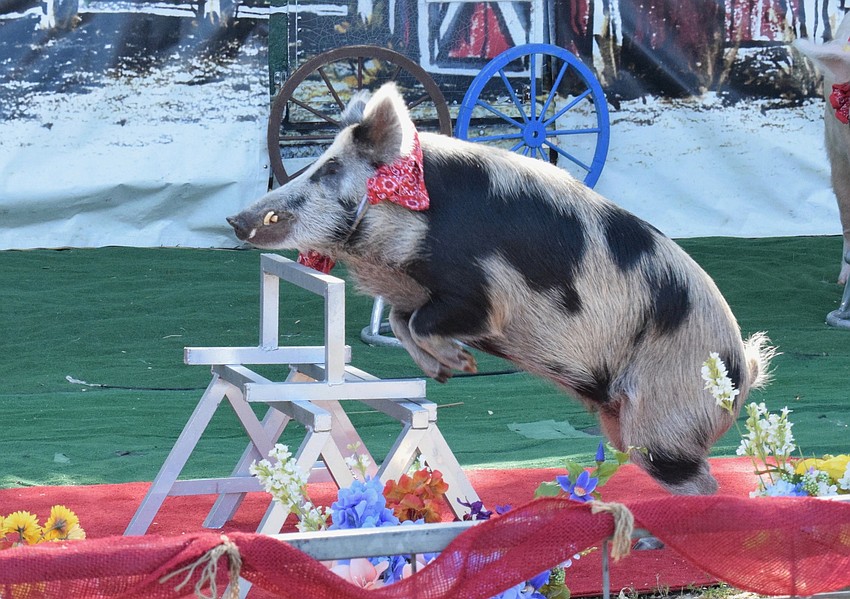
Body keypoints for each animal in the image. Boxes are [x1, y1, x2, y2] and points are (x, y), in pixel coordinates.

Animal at [228, 83, 773, 495]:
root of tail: (741, 369)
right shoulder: (416, 292)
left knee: (698, 479)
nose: (236, 219)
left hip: (666, 412)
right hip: (626, 421)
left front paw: (462, 364)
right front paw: (447, 372)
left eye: (331, 169)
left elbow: (425, 319)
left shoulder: (483, 292)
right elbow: (403, 322)